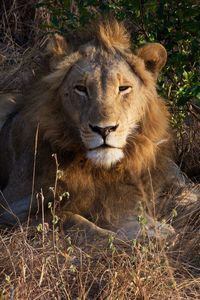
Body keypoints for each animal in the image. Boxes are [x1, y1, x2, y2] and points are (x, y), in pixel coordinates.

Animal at [0, 19, 198, 239]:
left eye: (123, 88)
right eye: (81, 88)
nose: (104, 129)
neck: (100, 169)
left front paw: (156, 232)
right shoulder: (11, 208)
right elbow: (71, 219)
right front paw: (119, 239)